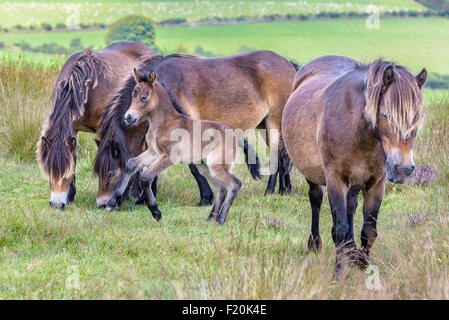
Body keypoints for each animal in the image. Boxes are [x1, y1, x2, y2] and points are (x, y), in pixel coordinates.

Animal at [36, 41, 154, 209]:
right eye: (48, 172)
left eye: (64, 174)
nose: (56, 204)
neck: (84, 87)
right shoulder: (74, 130)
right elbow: (74, 157)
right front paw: (70, 196)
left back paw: (137, 194)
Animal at [93, 50, 298, 208]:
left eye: (111, 173)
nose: (101, 203)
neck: (165, 86)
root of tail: (288, 64)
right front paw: (145, 198)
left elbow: (193, 167)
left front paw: (206, 198)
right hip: (265, 125)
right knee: (283, 155)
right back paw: (284, 190)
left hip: (274, 123)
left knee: (277, 156)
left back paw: (270, 191)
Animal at [282, 55, 426, 278]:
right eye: (385, 115)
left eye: (417, 119)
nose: (403, 169)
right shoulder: (336, 180)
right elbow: (340, 229)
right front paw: (339, 274)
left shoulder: (376, 184)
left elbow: (369, 231)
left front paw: (363, 266)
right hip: (312, 173)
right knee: (316, 199)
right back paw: (315, 244)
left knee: (351, 206)